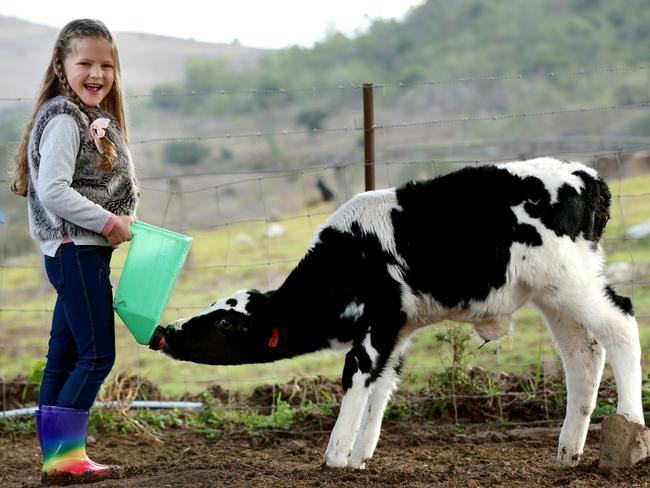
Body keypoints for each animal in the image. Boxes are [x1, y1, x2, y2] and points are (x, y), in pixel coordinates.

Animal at [153, 158, 644, 468]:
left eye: (224, 321)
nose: (166, 332)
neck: (347, 259)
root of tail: (587, 176)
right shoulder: (398, 330)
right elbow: (382, 385)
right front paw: (360, 456)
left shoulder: (378, 323)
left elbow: (355, 374)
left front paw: (335, 457)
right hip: (552, 296)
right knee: (583, 354)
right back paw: (568, 452)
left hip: (571, 282)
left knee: (621, 325)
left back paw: (631, 429)